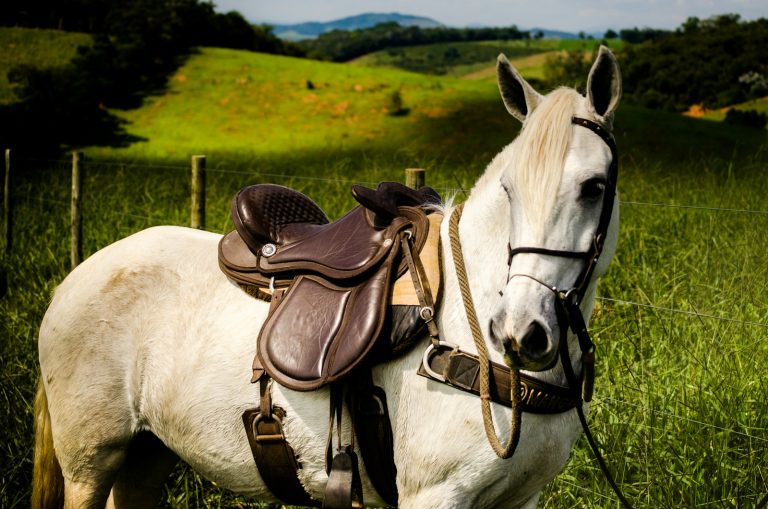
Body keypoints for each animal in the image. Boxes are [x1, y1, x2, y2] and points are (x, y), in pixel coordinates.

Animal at [33, 46, 622, 509]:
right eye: (508, 188)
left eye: (594, 186)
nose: (520, 333)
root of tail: (78, 275)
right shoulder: (435, 496)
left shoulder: (522, 498)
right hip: (89, 462)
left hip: (147, 453)